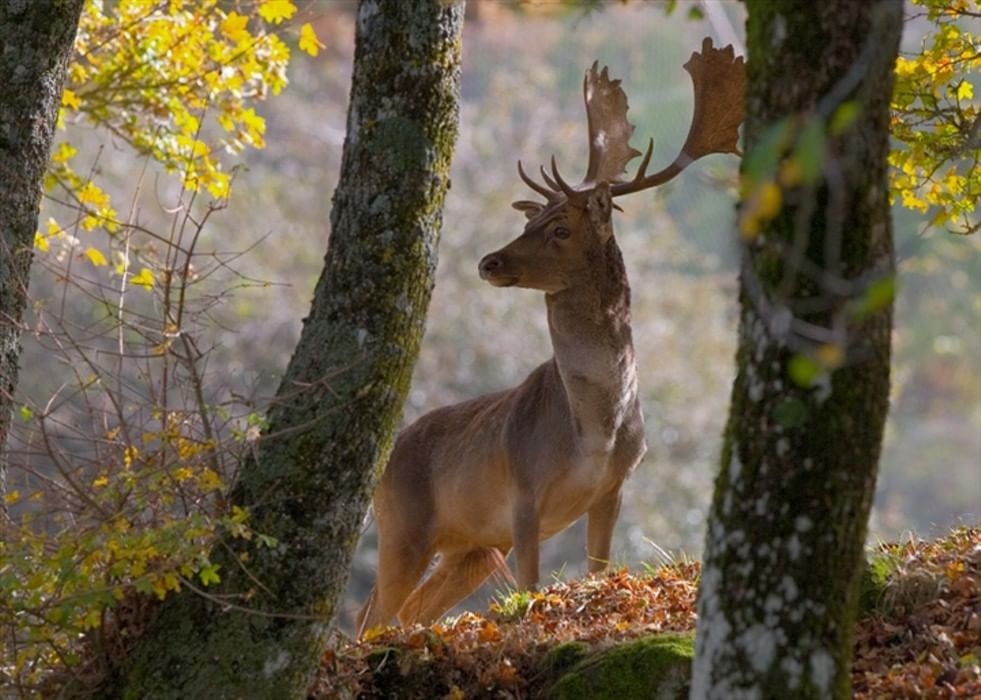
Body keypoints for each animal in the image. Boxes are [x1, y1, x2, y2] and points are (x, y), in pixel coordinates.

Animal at [356, 39, 748, 640]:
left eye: (561, 228)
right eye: (530, 221)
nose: (489, 262)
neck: (594, 430)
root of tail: (386, 456)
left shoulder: (612, 488)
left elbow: (596, 570)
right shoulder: (523, 488)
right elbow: (531, 584)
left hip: (470, 546)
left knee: (408, 609)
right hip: (403, 523)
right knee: (371, 613)